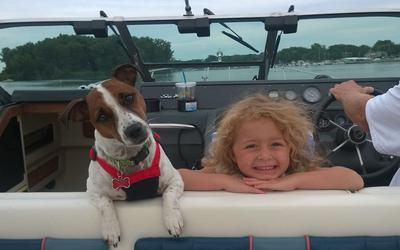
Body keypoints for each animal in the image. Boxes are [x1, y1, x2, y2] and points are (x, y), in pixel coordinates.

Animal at [58, 69, 184, 245]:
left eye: (129, 97)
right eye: (102, 116)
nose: (135, 129)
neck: (131, 159)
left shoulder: (175, 180)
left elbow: (169, 195)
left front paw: (172, 218)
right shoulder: (93, 190)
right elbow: (105, 203)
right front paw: (110, 229)